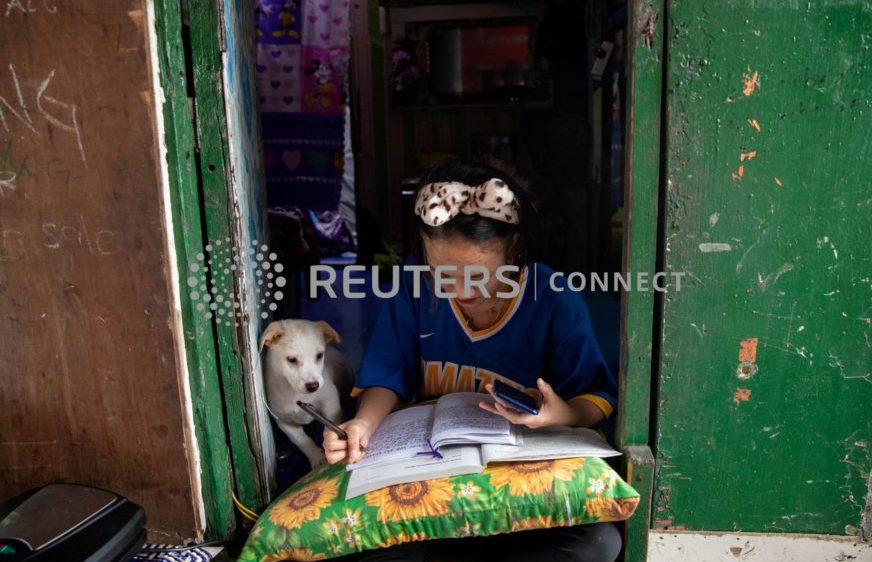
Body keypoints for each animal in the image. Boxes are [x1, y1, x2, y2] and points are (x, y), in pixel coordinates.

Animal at [260, 318, 352, 466]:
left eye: (319, 355)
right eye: (291, 359)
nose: (313, 386)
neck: (295, 394)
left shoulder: (331, 403)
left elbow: (330, 426)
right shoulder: (285, 422)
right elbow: (302, 441)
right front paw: (317, 458)